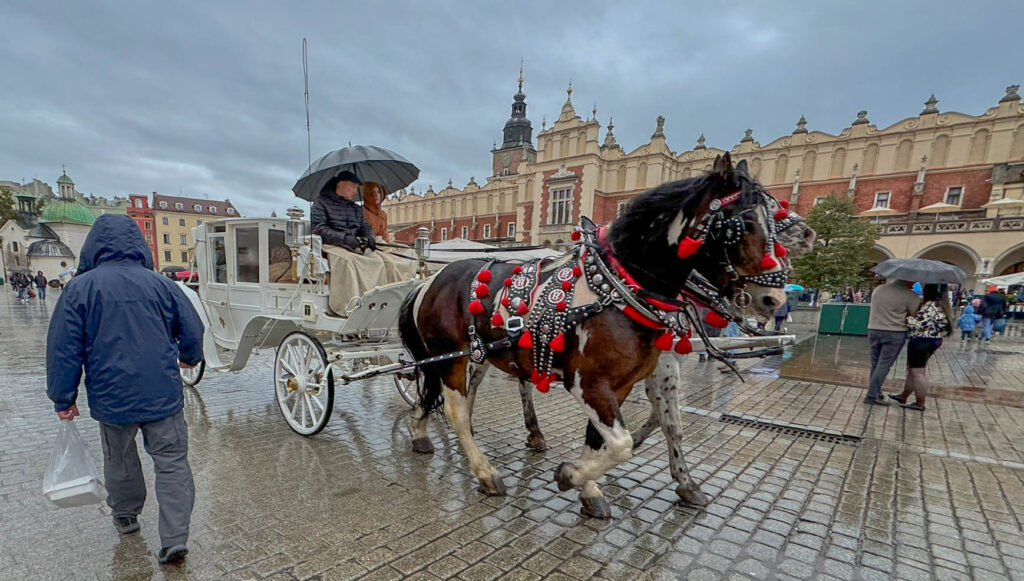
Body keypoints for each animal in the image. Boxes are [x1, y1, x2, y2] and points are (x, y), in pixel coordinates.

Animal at [397, 153, 782, 518]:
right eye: (743, 223)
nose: (774, 299)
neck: (622, 289)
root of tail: (429, 281)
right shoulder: (589, 383)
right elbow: (622, 443)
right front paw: (570, 474)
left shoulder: (623, 384)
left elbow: (607, 437)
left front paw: (591, 491)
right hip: (451, 356)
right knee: (456, 410)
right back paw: (485, 472)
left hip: (474, 354)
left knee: (455, 395)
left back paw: (424, 432)